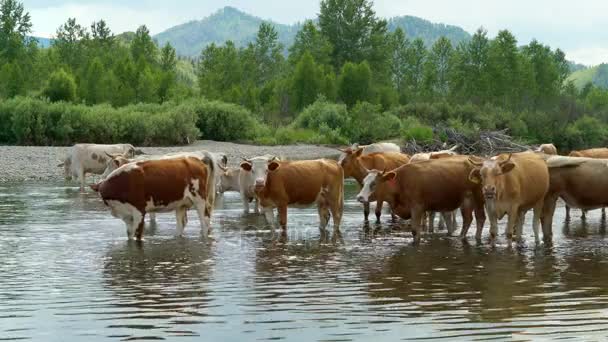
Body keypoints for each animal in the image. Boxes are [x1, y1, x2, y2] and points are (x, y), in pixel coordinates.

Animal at [356, 156, 484, 242]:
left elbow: (415, 231)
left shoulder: (417, 207)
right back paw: (461, 237)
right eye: (364, 182)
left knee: (480, 218)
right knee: (468, 219)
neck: (401, 182)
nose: (359, 197)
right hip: (466, 201)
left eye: (373, 184)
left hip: (478, 197)